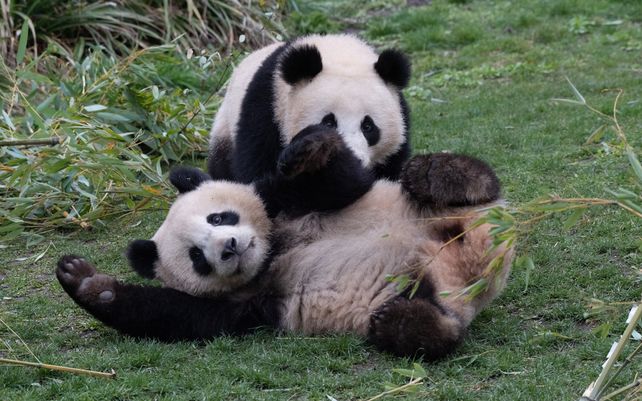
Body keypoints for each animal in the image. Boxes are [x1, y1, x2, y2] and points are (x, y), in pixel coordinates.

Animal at [56, 126, 512, 359]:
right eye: (197, 257)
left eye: (219, 217)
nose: (230, 247)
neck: (274, 249)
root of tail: (473, 262)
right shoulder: (247, 302)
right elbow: (183, 316)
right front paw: (85, 282)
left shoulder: (284, 200)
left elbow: (343, 182)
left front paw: (308, 148)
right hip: (423, 287)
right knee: (441, 328)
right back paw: (406, 322)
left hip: (448, 211)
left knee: (474, 183)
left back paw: (437, 174)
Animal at [208, 34, 412, 184]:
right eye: (329, 123)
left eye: (368, 126)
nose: (353, 159)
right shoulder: (267, 112)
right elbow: (258, 169)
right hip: (225, 130)